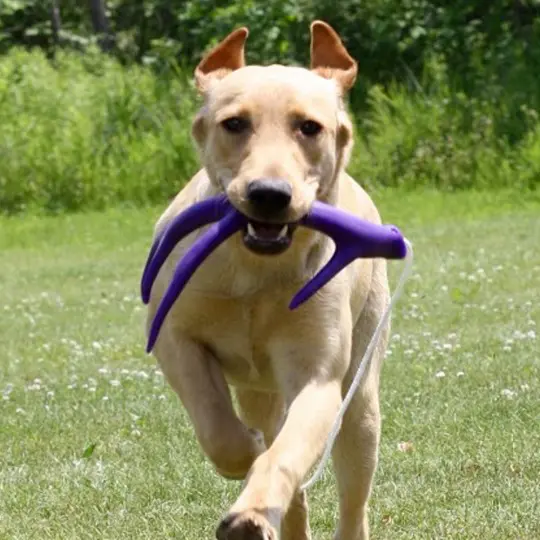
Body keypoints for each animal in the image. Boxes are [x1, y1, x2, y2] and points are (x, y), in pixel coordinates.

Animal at [147, 21, 392, 540]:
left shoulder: (318, 375)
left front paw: (252, 510)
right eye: (234, 123)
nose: (269, 194)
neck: (254, 270)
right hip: (259, 391)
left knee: (353, 492)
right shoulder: (175, 338)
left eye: (310, 127)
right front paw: (247, 449)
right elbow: (219, 429)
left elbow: (284, 453)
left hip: (361, 394)